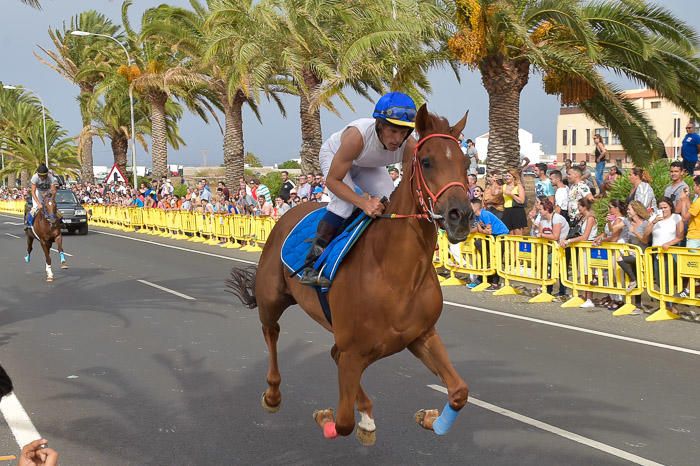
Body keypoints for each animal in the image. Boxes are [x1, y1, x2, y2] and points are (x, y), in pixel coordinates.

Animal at [228, 105, 470, 444]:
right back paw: (273, 394)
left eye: (467, 163)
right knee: (271, 332)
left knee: (331, 354)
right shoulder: (354, 350)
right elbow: (341, 422)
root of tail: (288, 213)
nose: (462, 215)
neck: (395, 274)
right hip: (271, 299)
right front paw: (325, 416)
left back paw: (366, 415)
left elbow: (459, 391)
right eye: (427, 161)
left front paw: (429, 418)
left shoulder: (420, 336)